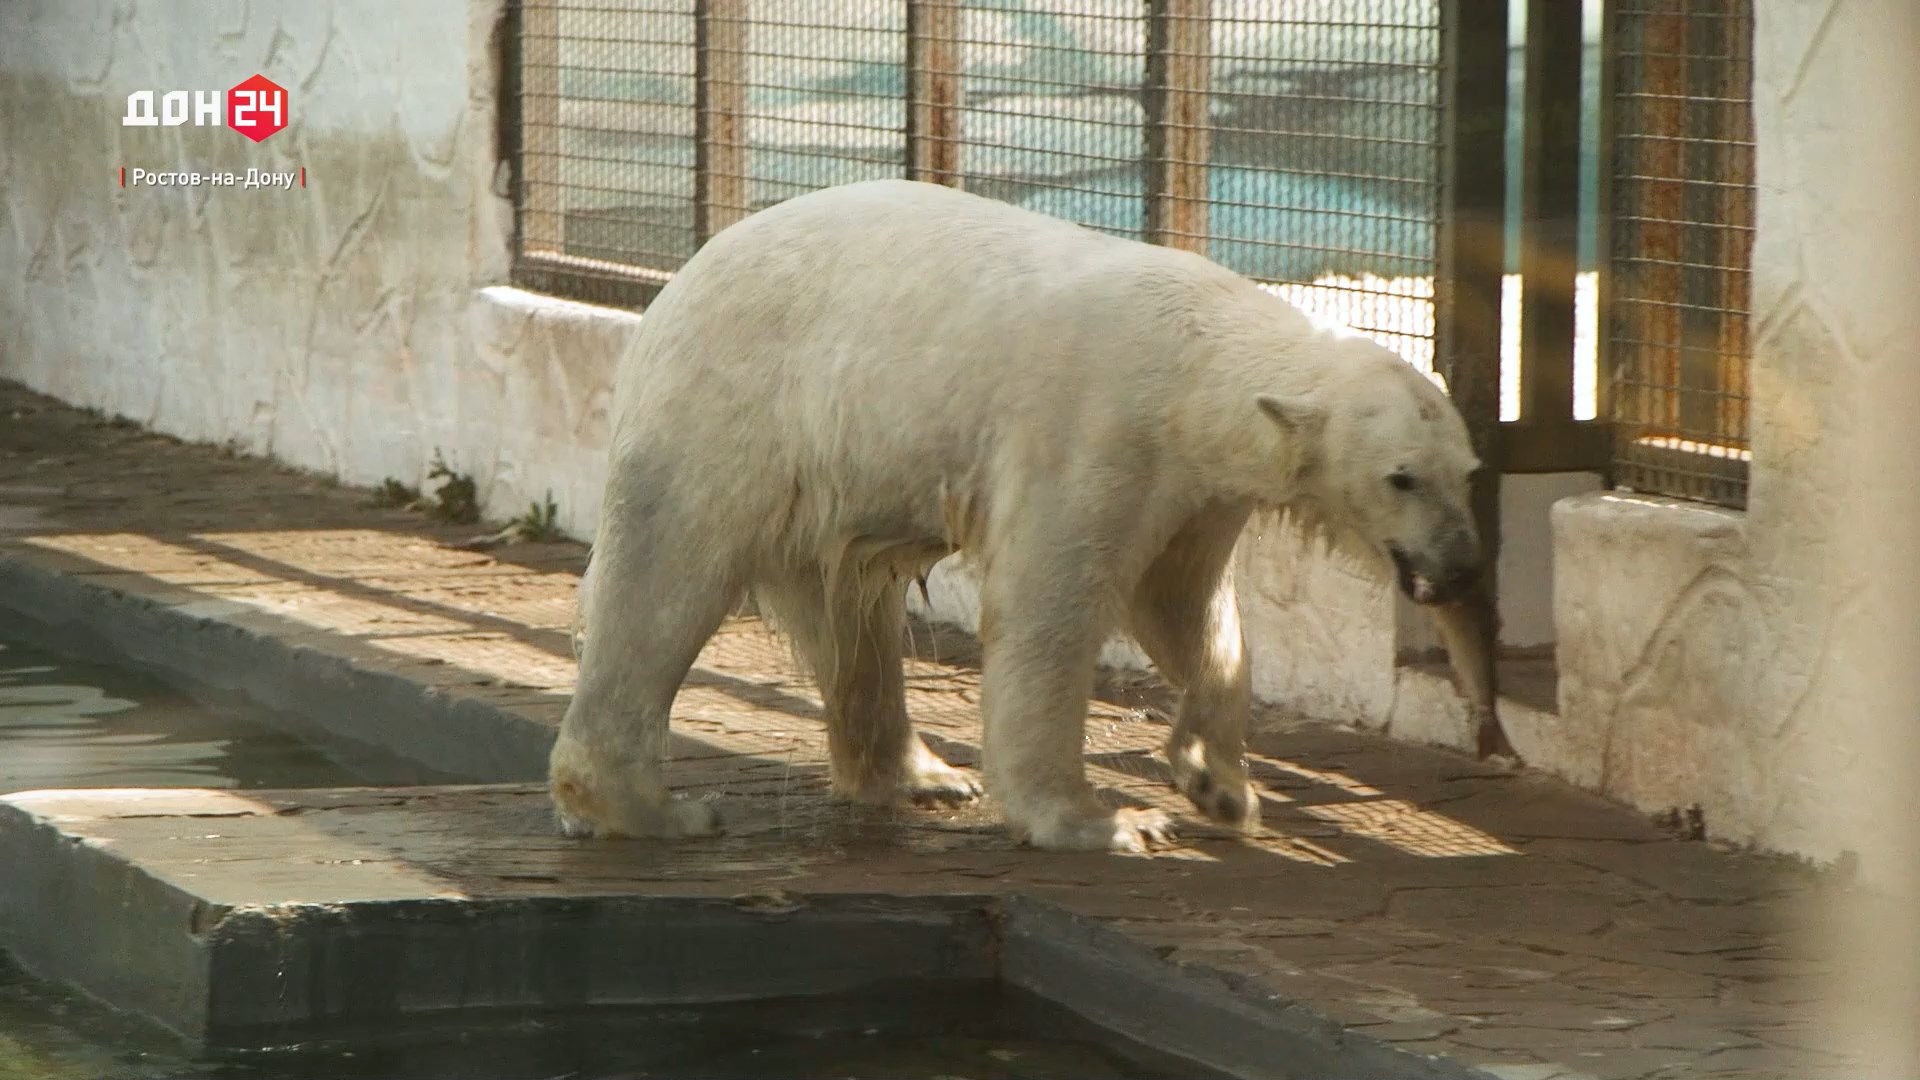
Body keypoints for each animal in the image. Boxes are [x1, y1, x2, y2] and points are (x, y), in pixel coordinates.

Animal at [549, 176, 1489, 849]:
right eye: (1402, 478)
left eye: (1469, 473)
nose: (1460, 566)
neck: (1194, 364)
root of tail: (676, 282)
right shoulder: (1096, 430)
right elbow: (1051, 606)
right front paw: (1105, 822)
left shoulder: (1199, 490)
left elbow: (1185, 609)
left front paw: (1220, 784)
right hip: (734, 408)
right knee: (666, 573)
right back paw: (647, 808)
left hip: (822, 483)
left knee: (849, 620)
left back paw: (924, 774)